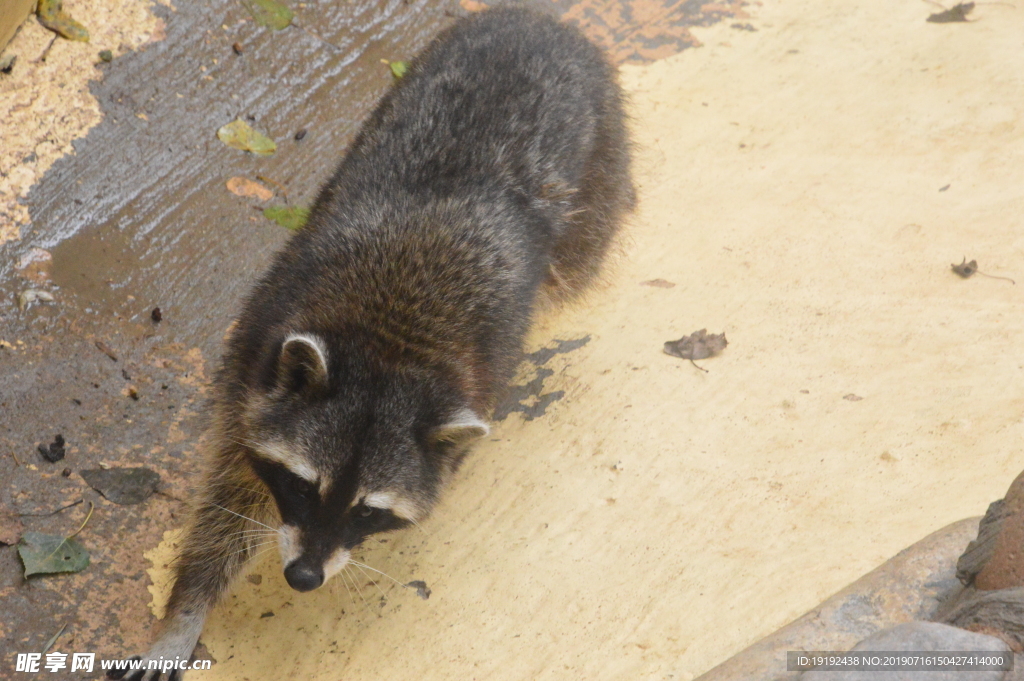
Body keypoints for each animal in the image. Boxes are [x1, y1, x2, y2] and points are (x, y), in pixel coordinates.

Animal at [105, 6, 630, 679]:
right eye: (304, 486)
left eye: (367, 511)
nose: (303, 578)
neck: (392, 346)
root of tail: (541, 19)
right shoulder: (254, 358)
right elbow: (230, 498)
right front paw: (186, 610)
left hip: (599, 178)